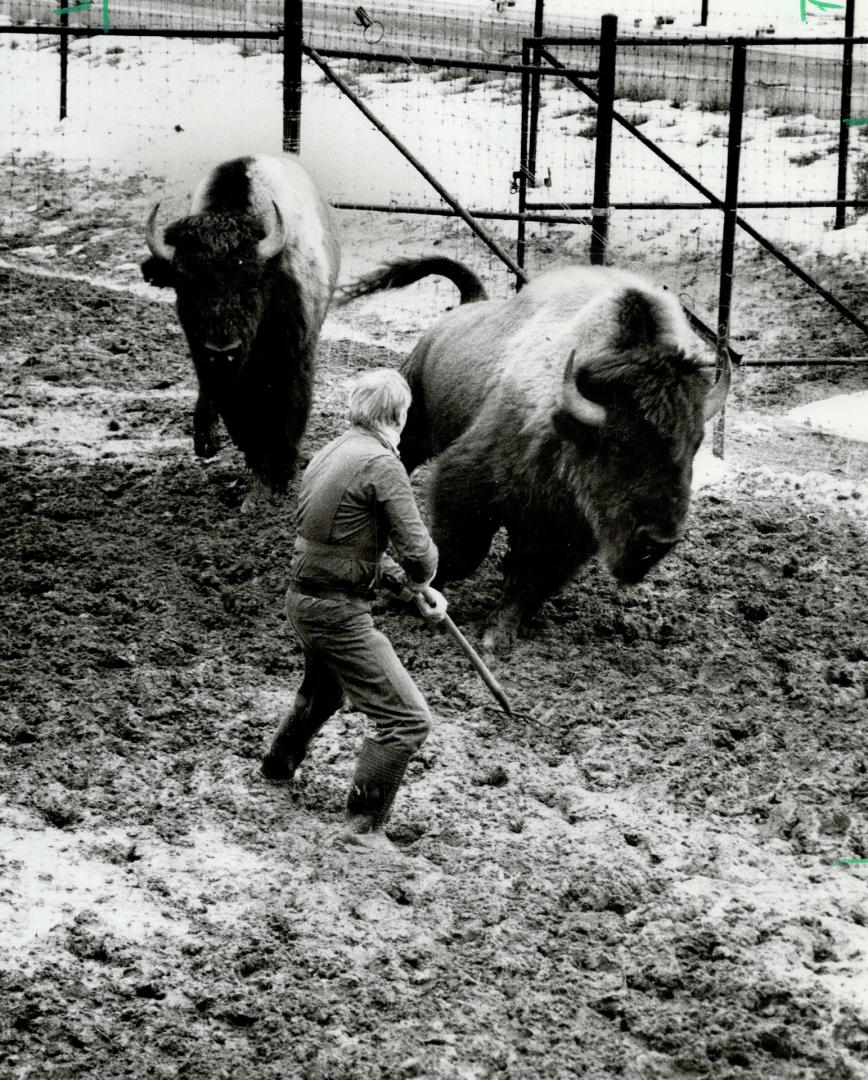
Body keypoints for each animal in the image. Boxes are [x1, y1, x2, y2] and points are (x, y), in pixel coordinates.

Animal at [142, 154, 340, 499]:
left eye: (251, 279)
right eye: (185, 283)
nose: (223, 350)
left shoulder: (293, 359)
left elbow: (286, 413)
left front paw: (279, 475)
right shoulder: (215, 370)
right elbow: (238, 417)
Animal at [343, 257, 730, 651]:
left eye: (695, 444)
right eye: (619, 443)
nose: (659, 541)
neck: (569, 423)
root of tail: (467, 308)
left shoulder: (567, 529)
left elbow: (531, 579)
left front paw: (496, 636)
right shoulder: (469, 481)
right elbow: (459, 553)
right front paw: (414, 597)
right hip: (411, 428)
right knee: (399, 462)